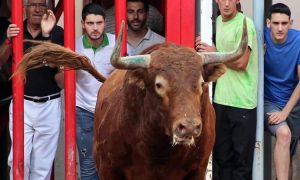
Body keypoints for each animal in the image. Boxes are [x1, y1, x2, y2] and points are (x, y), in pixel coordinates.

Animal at [14, 17, 247, 180]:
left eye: (200, 83)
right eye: (159, 85)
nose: (189, 127)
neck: (159, 151)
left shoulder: (197, 170)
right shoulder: (109, 170)